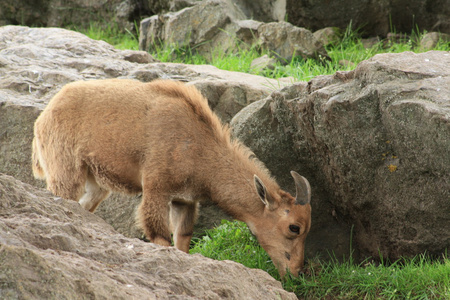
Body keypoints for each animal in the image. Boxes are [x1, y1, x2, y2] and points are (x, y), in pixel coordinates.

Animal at [32, 79, 312, 276]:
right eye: (294, 227)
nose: (296, 272)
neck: (198, 146)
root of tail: (43, 117)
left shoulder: (184, 201)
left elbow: (182, 238)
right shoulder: (156, 189)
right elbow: (160, 236)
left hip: (96, 183)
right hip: (65, 172)